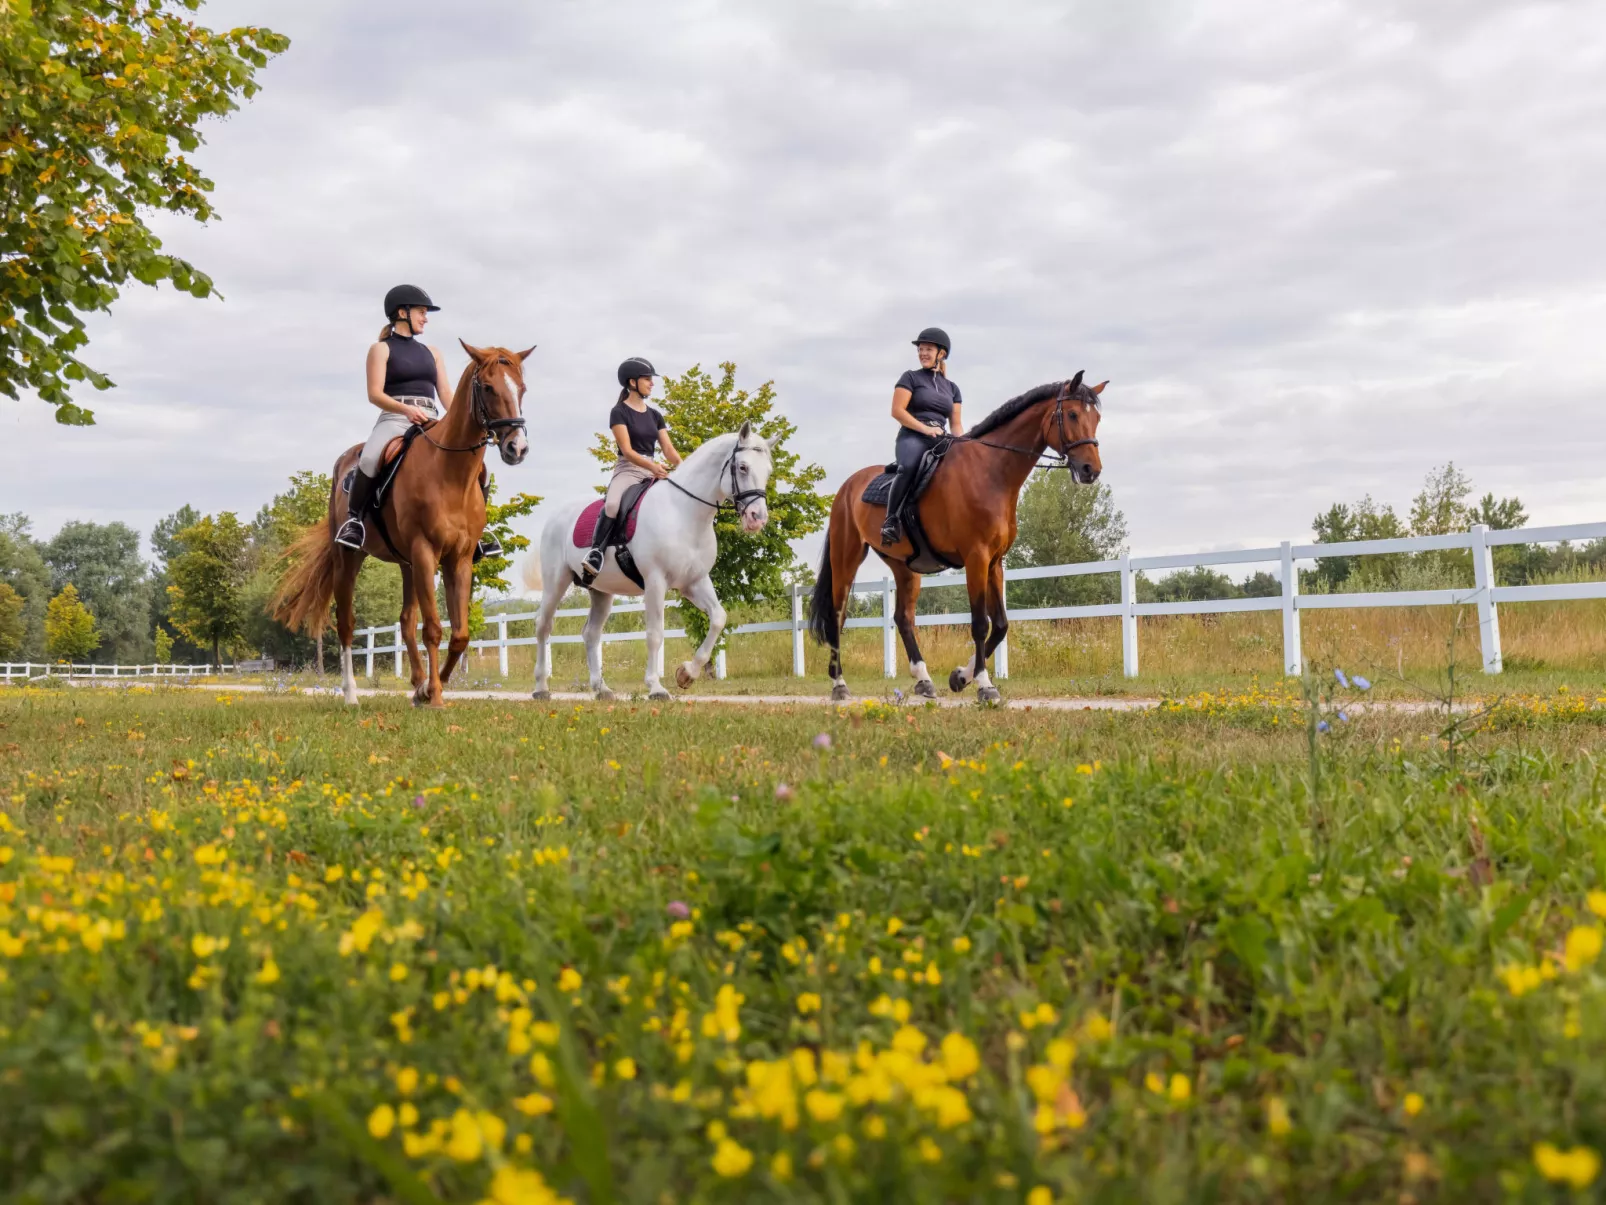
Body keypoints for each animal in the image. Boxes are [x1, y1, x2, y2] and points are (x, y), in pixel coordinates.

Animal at [273, 340, 529, 706]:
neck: (450, 473)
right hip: (350, 558)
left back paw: (417, 685)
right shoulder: (425, 551)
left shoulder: (459, 558)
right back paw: (351, 695)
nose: (517, 448)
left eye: (522, 388)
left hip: (407, 563)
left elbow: (460, 634)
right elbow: (434, 629)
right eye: (489, 388)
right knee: (346, 623)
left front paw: (430, 688)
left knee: (406, 621)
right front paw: (434, 695)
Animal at [526, 430, 770, 703]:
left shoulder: (695, 582)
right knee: (543, 625)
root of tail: (556, 516)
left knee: (591, 633)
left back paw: (602, 689)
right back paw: (541, 687)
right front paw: (656, 687)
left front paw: (687, 674)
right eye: (743, 467)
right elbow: (655, 634)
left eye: (768, 471)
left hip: (601, 592)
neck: (683, 512)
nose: (758, 518)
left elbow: (718, 618)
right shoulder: (655, 581)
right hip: (556, 582)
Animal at [803, 372, 1104, 703]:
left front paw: (961, 676)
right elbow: (980, 624)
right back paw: (839, 684)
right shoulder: (976, 558)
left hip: (904, 567)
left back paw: (923, 680)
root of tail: (847, 487)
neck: (991, 471)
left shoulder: (994, 562)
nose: (1091, 470)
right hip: (846, 559)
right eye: (1073, 414)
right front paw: (984, 685)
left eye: (1097, 418)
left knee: (903, 618)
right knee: (837, 617)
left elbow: (1000, 625)